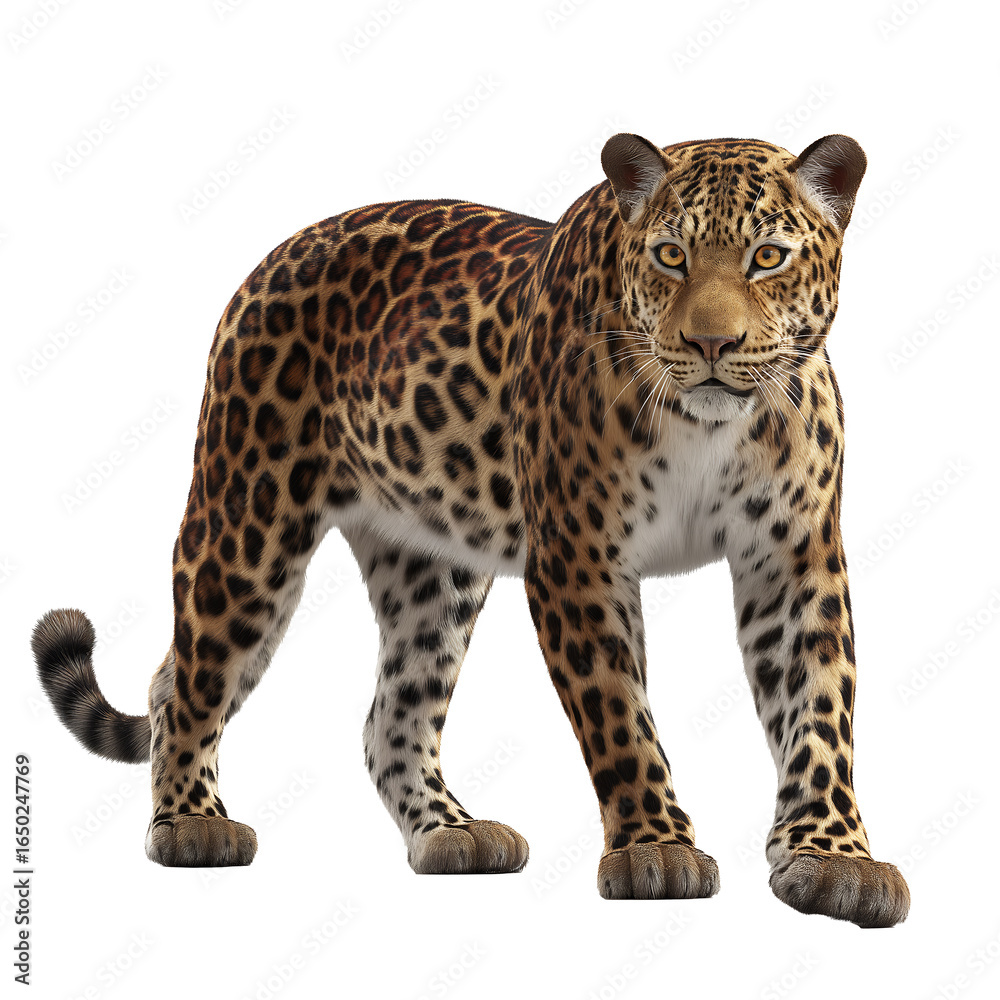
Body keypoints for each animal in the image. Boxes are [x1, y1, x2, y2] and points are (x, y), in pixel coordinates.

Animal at [33, 130, 910, 928]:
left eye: (767, 257)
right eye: (669, 256)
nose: (712, 342)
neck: (709, 430)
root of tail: (276, 256)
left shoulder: (793, 557)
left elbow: (819, 706)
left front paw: (833, 857)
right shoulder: (578, 557)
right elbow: (619, 714)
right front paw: (656, 848)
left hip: (433, 571)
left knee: (389, 718)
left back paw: (450, 831)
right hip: (247, 526)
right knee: (185, 684)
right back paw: (191, 822)